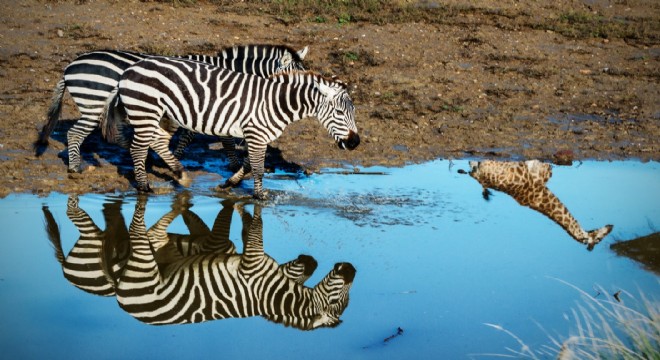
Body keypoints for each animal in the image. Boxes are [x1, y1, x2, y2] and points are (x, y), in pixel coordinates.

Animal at [37, 44, 310, 174]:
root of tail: (69, 67)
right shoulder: (205, 106)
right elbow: (217, 138)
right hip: (94, 104)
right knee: (76, 134)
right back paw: (75, 167)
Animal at [102, 56, 360, 198]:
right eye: (339, 113)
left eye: (353, 112)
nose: (355, 142)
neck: (275, 102)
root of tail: (128, 70)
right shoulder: (256, 134)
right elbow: (257, 169)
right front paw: (260, 196)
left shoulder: (258, 136)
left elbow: (248, 165)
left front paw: (228, 184)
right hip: (145, 110)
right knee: (138, 149)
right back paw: (144, 187)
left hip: (157, 114)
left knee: (157, 140)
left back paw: (180, 174)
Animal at [118, 197, 356, 330]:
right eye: (338, 301)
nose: (352, 270)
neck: (272, 297)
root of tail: (124, 305)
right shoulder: (256, 262)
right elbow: (254, 228)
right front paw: (244, 204)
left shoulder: (256, 263)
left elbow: (252, 230)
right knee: (142, 230)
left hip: (156, 262)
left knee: (150, 234)